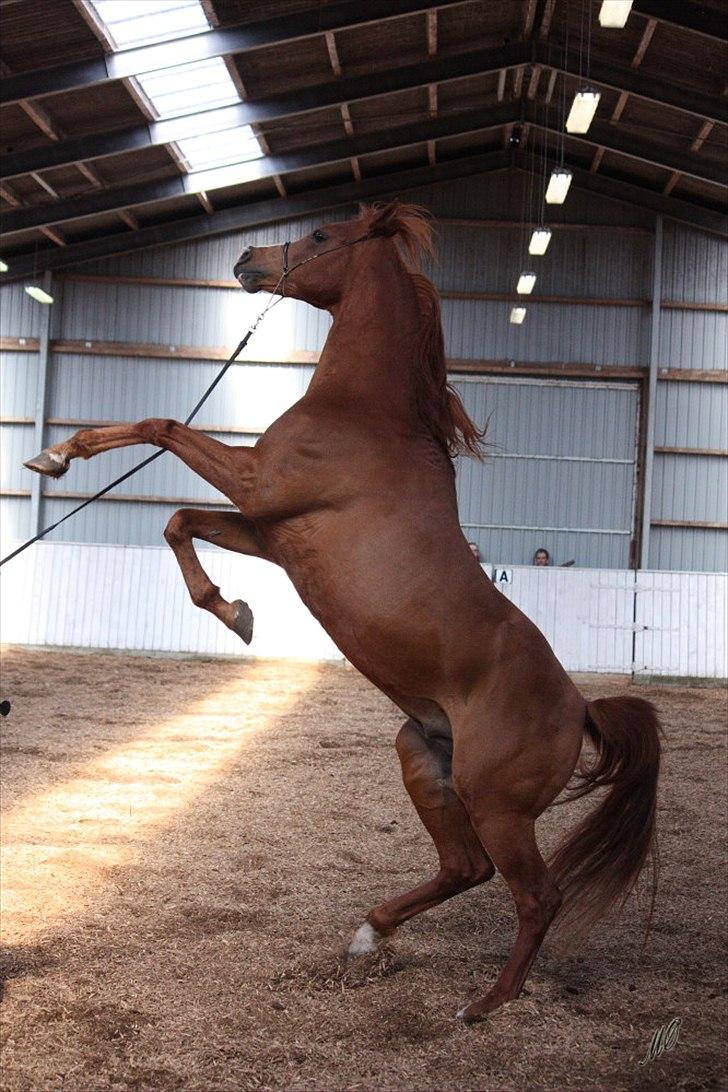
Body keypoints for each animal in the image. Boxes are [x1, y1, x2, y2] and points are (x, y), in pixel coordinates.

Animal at [24, 200, 659, 1017]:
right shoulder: (271, 530)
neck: (365, 413)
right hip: (423, 757)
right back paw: (366, 938)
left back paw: (485, 1003)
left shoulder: (256, 485)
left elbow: (161, 427)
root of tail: (580, 707)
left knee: (535, 896)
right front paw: (234, 611)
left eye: (323, 237)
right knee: (466, 870)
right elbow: (178, 521)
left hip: (497, 804)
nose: (249, 260)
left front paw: (57, 455)